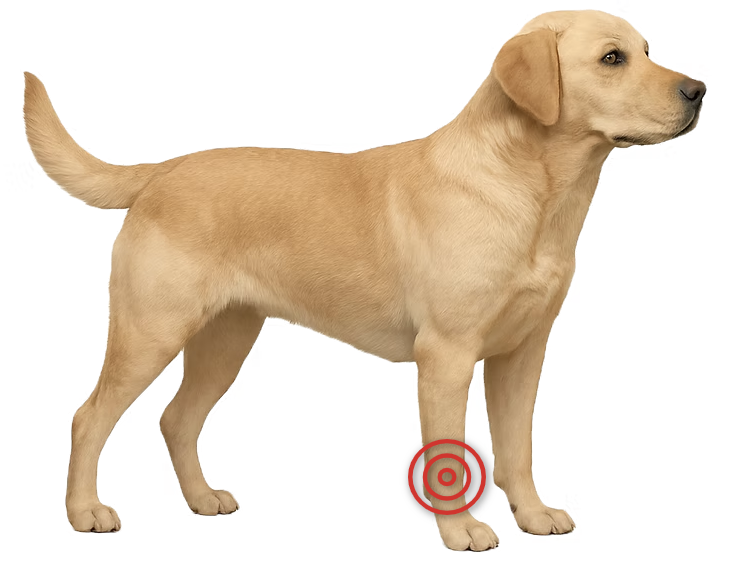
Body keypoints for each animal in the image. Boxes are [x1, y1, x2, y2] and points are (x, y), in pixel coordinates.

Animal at [24, 9, 704, 551]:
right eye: (613, 58)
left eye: (648, 49)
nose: (699, 89)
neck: (533, 193)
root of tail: (162, 170)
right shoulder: (446, 357)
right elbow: (449, 455)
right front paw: (461, 532)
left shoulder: (522, 353)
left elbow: (518, 448)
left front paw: (533, 515)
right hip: (151, 332)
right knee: (89, 417)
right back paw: (84, 512)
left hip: (226, 341)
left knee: (176, 419)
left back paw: (202, 498)